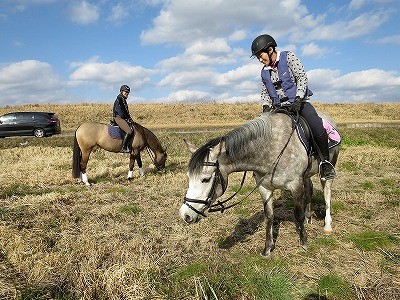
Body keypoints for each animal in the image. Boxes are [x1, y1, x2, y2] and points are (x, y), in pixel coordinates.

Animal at [180, 111, 340, 256]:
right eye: (189, 177)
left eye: (206, 179)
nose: (185, 215)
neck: (272, 150)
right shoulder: (265, 188)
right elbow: (269, 216)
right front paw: (268, 248)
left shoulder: (295, 185)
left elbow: (298, 214)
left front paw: (304, 242)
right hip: (306, 176)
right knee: (309, 190)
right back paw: (308, 217)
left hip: (326, 171)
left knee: (326, 193)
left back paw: (327, 225)